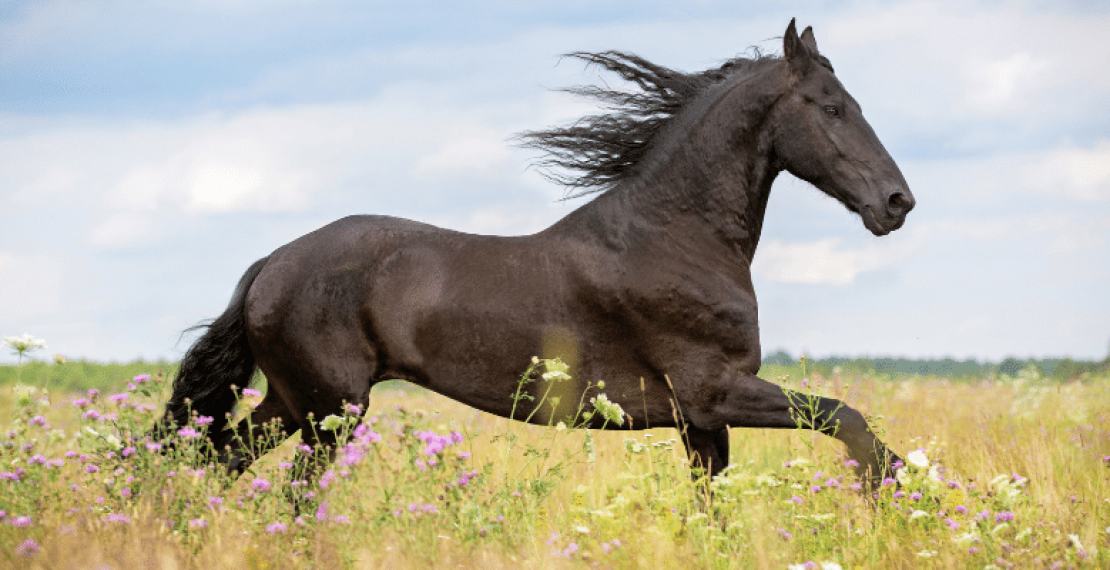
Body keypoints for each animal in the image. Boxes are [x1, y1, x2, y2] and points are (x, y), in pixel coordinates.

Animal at [160, 21, 914, 483]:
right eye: (832, 106)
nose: (897, 202)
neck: (675, 237)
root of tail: (270, 265)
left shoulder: (700, 421)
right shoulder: (714, 391)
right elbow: (849, 421)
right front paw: (896, 498)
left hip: (291, 405)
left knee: (218, 460)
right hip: (327, 413)